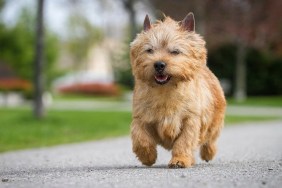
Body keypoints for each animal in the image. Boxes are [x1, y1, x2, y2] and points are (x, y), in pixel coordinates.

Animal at [131, 12, 227, 169]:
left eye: (175, 51)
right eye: (149, 50)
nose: (159, 64)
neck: (165, 90)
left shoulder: (190, 120)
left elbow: (185, 142)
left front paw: (180, 160)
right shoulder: (141, 117)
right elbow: (140, 138)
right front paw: (147, 156)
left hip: (215, 119)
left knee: (210, 138)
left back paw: (208, 153)